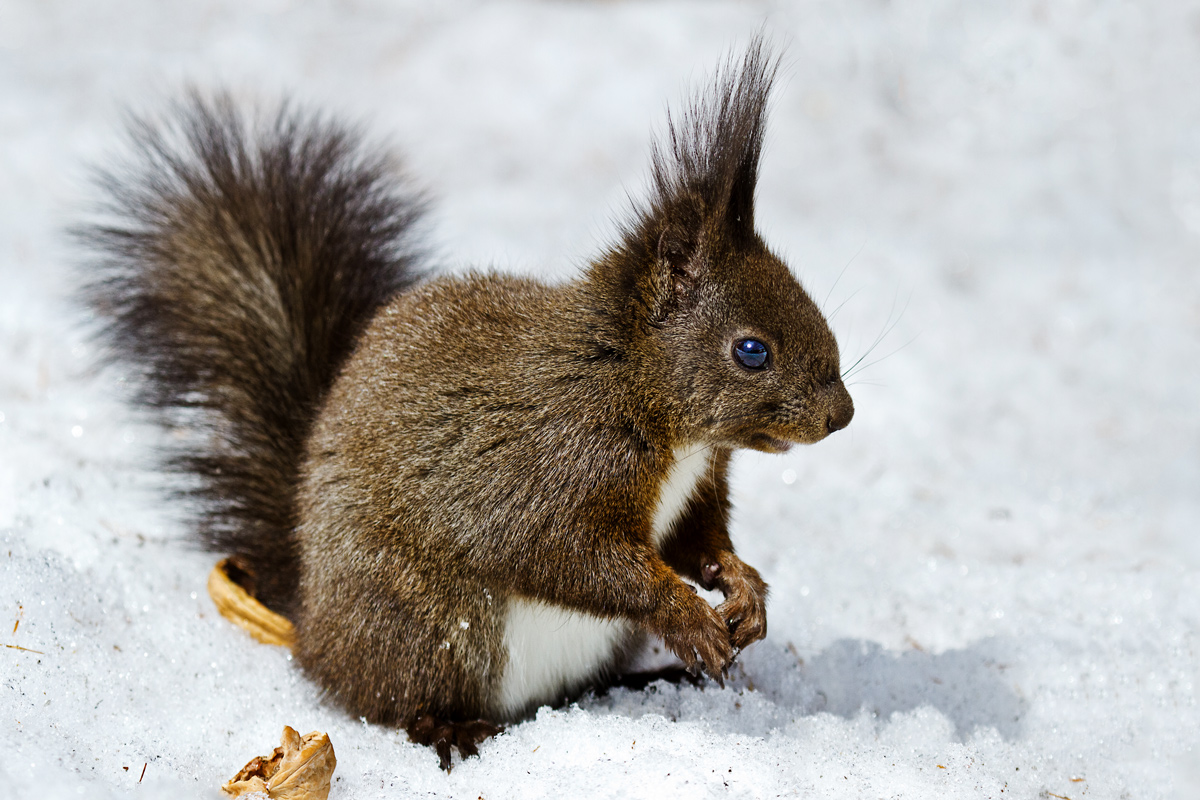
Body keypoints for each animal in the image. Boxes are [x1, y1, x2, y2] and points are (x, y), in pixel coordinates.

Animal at [80, 40, 853, 770]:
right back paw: (449, 726)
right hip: (434, 625)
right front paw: (687, 614)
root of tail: (314, 626)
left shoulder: (697, 487)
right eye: (751, 350)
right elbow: (565, 553)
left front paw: (744, 588)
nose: (841, 416)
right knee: (396, 701)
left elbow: (698, 540)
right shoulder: (548, 466)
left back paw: (646, 684)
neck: (644, 400)